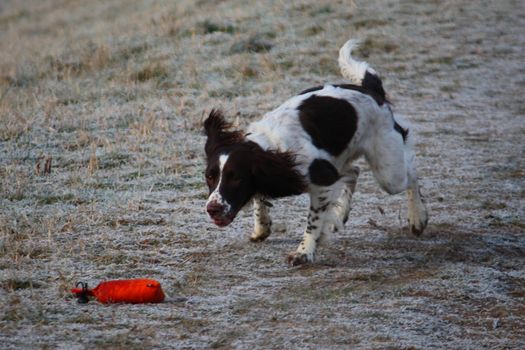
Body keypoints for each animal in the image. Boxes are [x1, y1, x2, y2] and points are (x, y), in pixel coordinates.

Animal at [203, 39, 428, 266]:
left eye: (236, 178)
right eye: (210, 177)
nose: (212, 209)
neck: (271, 147)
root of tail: (372, 91)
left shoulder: (321, 181)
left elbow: (313, 220)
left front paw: (304, 252)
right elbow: (260, 197)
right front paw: (261, 227)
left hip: (388, 172)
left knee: (411, 174)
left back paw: (418, 218)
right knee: (354, 172)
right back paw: (341, 212)